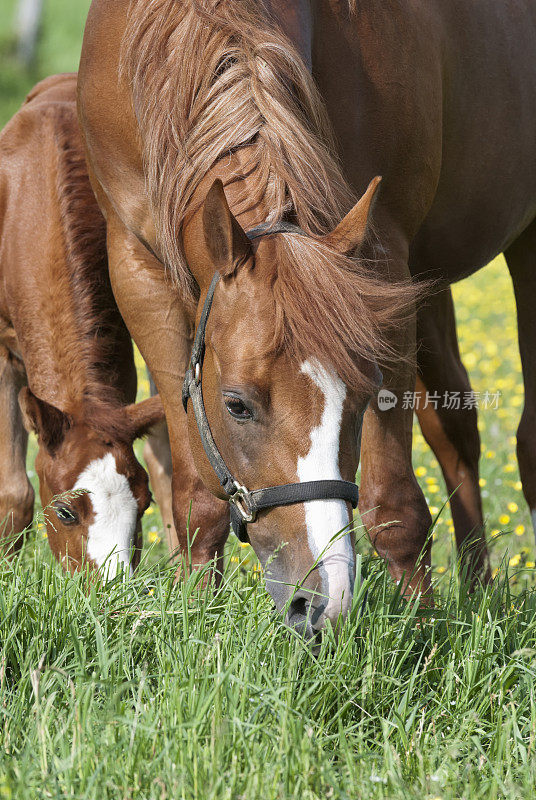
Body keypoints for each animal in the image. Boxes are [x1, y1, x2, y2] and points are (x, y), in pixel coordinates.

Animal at [77, 3, 536, 636]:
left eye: (364, 396)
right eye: (237, 405)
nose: (322, 601)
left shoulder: (383, 268)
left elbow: (395, 504)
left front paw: (421, 633)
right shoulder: (136, 269)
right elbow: (196, 497)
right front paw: (196, 615)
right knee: (455, 425)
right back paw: (478, 587)